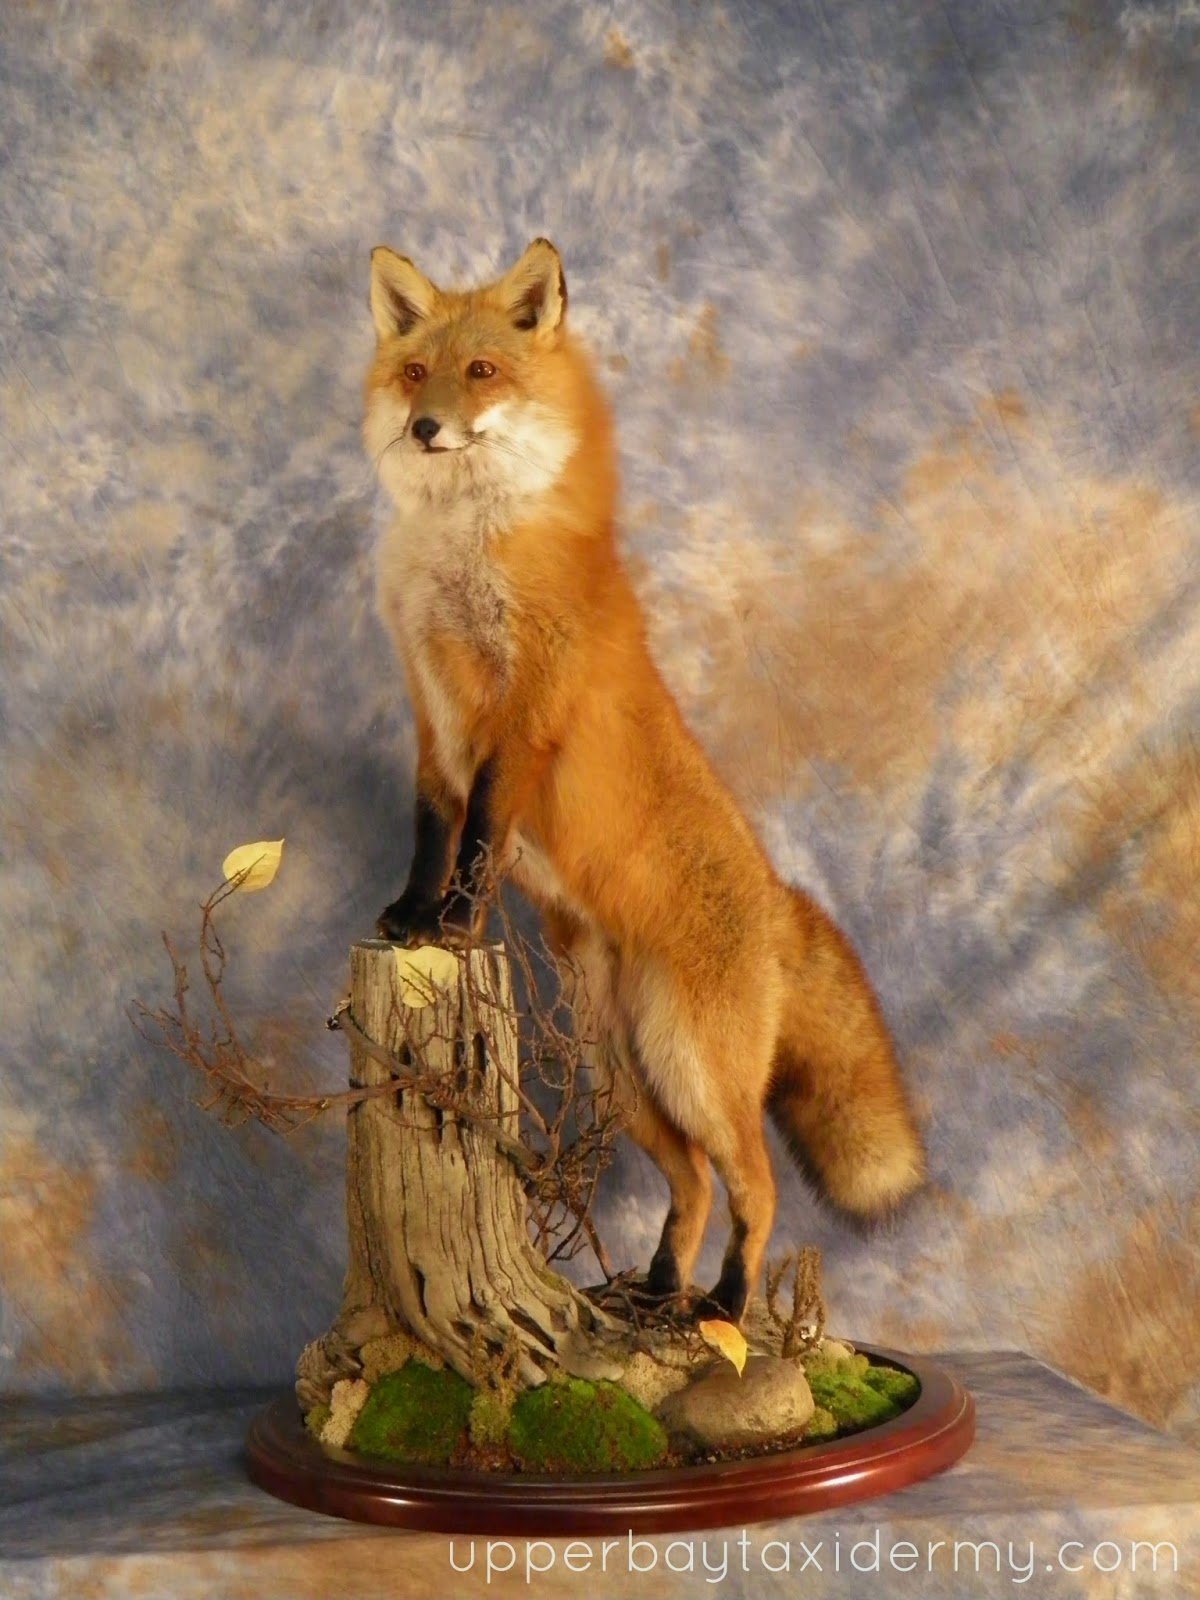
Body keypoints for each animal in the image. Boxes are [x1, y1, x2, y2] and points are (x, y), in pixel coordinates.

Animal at [361, 233, 928, 1312]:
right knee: (695, 1184)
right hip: (621, 1075)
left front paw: (453, 925)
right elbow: (428, 829)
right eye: (417, 373)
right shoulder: (430, 713)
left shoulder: (521, 715)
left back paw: (727, 1311)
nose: (423, 428)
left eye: (481, 371)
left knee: (756, 1184)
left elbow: (482, 833)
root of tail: (777, 897)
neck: (462, 553)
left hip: (691, 1071)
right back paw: (656, 1297)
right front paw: (410, 918)